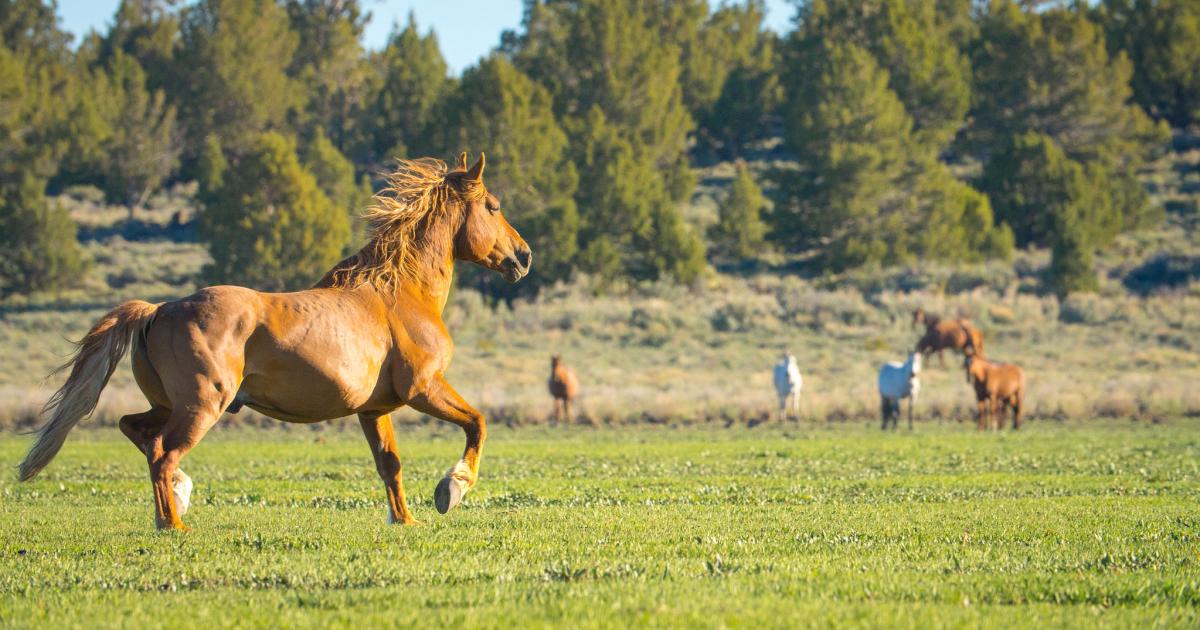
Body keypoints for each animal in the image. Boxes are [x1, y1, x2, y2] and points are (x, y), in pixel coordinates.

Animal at [18, 152, 532, 530]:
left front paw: (405, 520)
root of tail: (158, 310)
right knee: (162, 453)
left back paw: (180, 497)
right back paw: (173, 523)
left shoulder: (374, 409)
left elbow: (390, 464)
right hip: (202, 405)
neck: (400, 293)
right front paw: (452, 489)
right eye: (493, 206)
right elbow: (478, 423)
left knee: (136, 430)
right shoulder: (422, 388)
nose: (523, 256)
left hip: (169, 404)